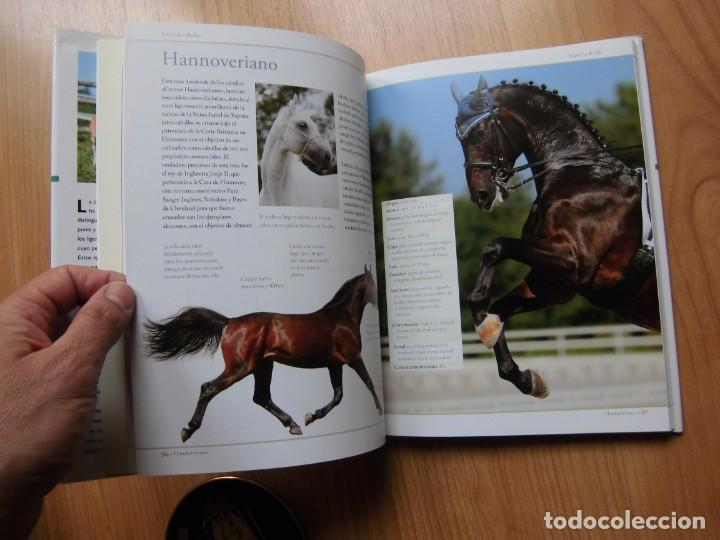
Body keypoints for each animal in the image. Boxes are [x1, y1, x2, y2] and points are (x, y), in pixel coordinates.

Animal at [144, 267, 382, 442]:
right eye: (374, 284)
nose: (380, 303)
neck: (340, 318)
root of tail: (230, 321)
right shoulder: (354, 358)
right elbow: (369, 383)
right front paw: (380, 411)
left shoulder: (335, 364)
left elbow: (338, 395)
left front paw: (311, 416)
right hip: (240, 368)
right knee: (208, 388)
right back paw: (188, 430)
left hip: (263, 366)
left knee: (261, 397)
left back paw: (293, 425)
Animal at [451, 76, 659, 399]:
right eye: (459, 137)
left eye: (482, 131)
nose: (482, 196)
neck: (578, 172)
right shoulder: (553, 284)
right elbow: (499, 309)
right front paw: (526, 378)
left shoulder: (576, 265)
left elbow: (497, 246)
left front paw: (483, 323)